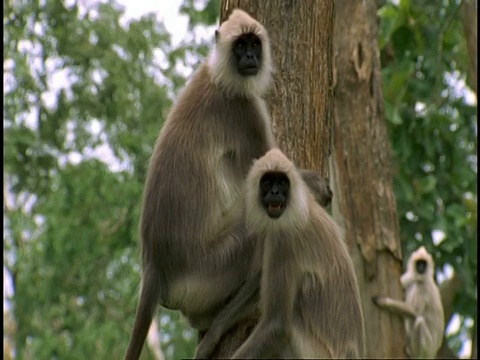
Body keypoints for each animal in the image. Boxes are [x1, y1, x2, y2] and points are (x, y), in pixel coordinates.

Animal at [124, 9, 334, 360]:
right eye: (240, 46)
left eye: (254, 44)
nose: (250, 58)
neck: (218, 77)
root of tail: (154, 265)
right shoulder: (246, 110)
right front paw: (317, 186)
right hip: (208, 271)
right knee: (262, 231)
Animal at [193, 148, 366, 358]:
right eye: (267, 182)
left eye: (282, 183)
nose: (274, 192)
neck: (301, 206)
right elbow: (259, 279)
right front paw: (213, 333)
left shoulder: (283, 237)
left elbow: (277, 326)